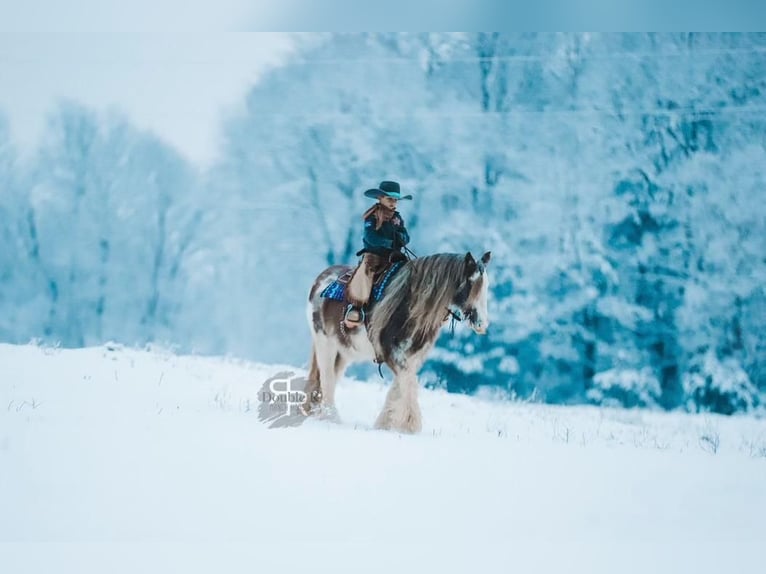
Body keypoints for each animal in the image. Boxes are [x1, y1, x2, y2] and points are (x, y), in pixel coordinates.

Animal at [304, 250, 492, 434]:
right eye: (470, 283)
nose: (481, 324)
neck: (409, 306)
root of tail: (320, 280)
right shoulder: (392, 353)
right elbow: (409, 382)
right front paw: (410, 425)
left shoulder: (412, 356)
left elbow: (401, 384)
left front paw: (385, 423)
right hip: (325, 344)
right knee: (327, 379)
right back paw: (331, 418)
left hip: (343, 352)